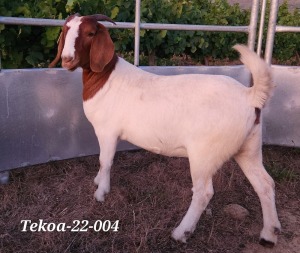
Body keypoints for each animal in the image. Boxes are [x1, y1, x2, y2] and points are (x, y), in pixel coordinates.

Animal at [49, 13, 282, 245]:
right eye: (66, 29)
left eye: (90, 33)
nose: (67, 59)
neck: (105, 78)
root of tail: (249, 96)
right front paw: (98, 182)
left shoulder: (108, 131)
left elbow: (105, 161)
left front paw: (101, 193)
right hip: (249, 147)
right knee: (265, 184)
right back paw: (269, 234)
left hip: (205, 153)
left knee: (204, 193)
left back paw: (181, 232)